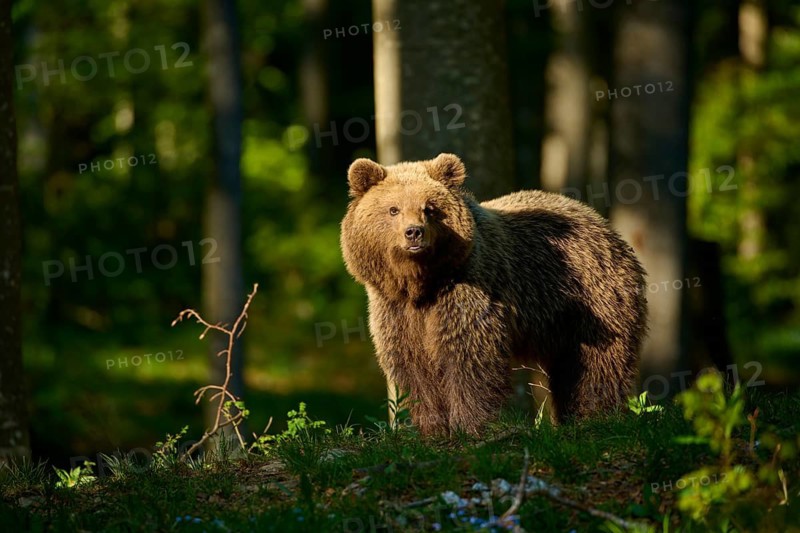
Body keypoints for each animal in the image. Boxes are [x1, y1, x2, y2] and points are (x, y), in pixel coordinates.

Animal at [340, 153, 647, 436]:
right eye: (393, 209)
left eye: (430, 208)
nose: (414, 232)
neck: (423, 284)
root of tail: (601, 222)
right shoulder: (395, 309)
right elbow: (414, 366)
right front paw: (431, 427)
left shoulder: (467, 291)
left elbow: (469, 357)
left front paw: (469, 424)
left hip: (595, 298)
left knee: (599, 363)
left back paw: (594, 415)